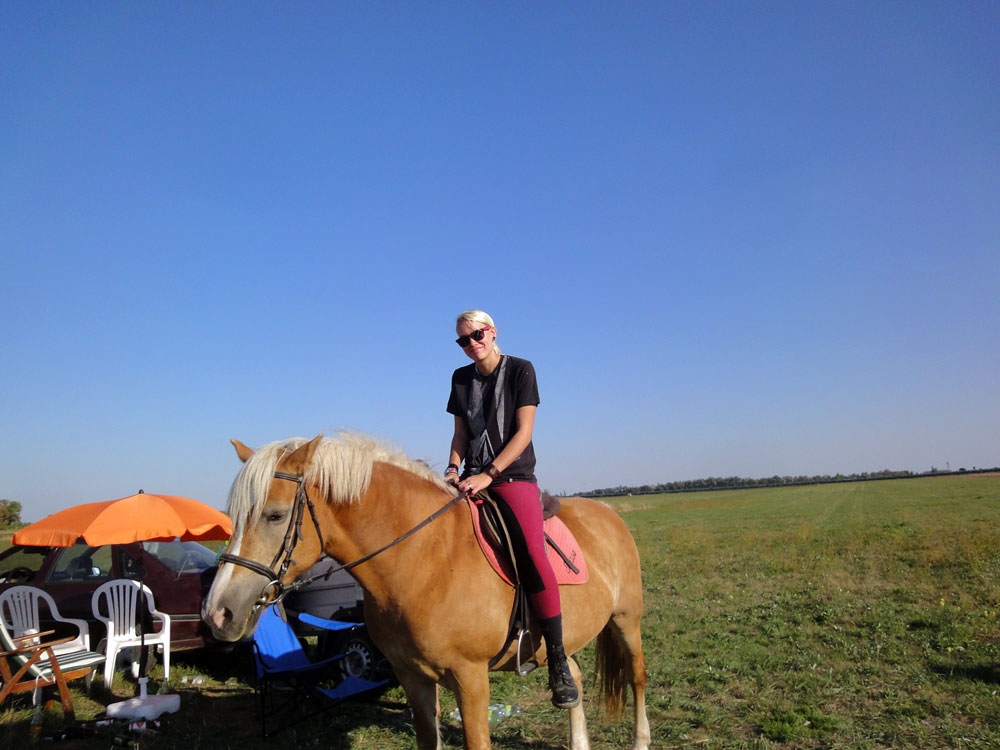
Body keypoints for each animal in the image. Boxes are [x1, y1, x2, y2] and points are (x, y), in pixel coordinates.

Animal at [203, 434, 648, 750]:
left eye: (275, 516)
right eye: (233, 516)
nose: (217, 613)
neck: (424, 559)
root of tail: (609, 513)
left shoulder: (471, 679)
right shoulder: (412, 676)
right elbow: (426, 739)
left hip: (627, 620)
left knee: (637, 676)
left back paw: (640, 740)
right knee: (573, 677)